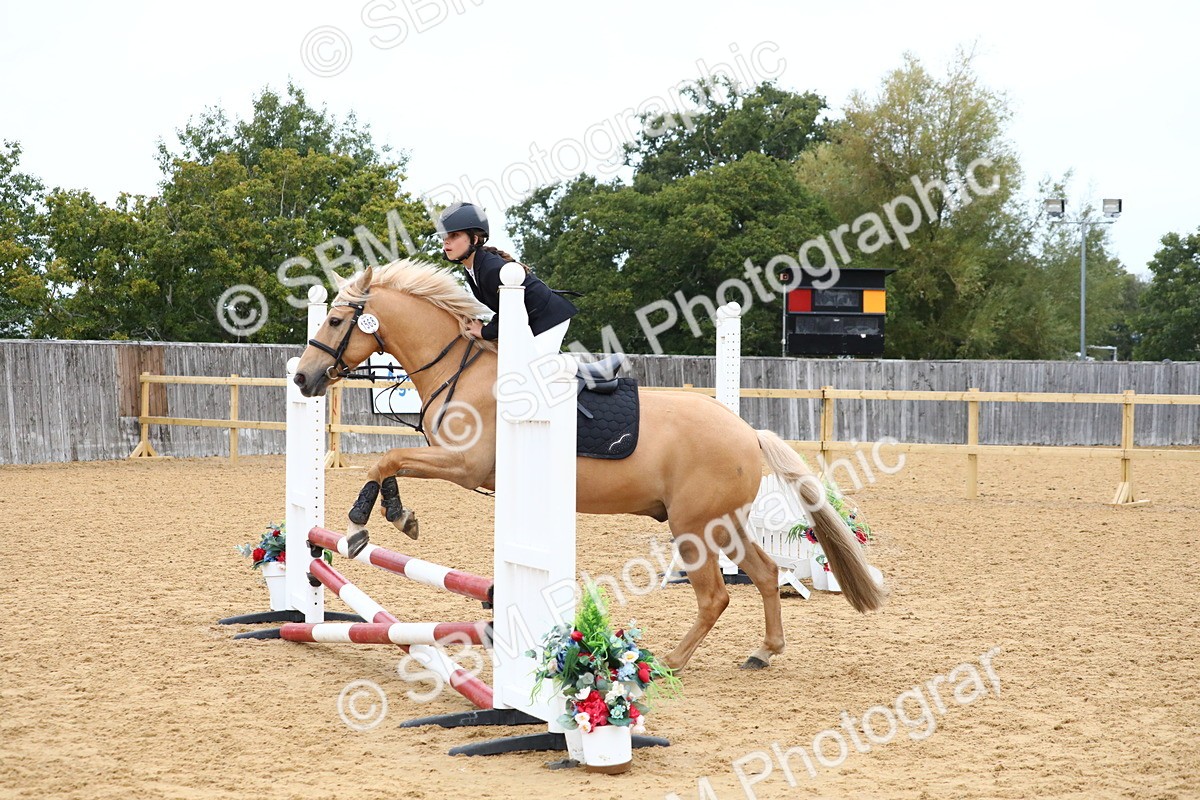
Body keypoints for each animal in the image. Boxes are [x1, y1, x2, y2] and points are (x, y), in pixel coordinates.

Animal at [293, 259, 885, 670]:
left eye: (337, 319)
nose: (302, 378)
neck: (463, 369)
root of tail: (747, 432)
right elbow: (391, 462)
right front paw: (396, 516)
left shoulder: (464, 466)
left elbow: (387, 460)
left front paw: (363, 526)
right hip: (723, 522)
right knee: (762, 574)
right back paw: (764, 651)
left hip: (693, 525)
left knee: (715, 594)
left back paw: (671, 661)